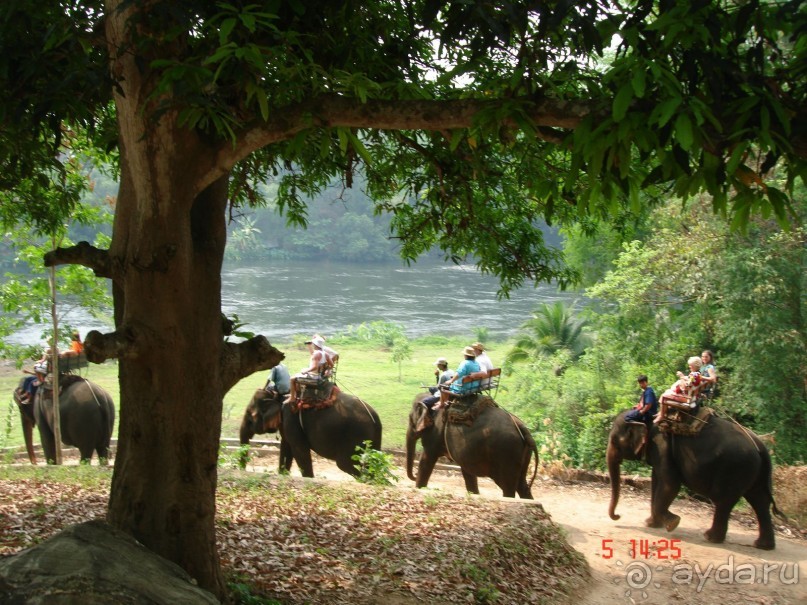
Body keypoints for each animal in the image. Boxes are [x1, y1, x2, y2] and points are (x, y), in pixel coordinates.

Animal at [238, 386, 384, 476]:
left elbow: (299, 450)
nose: (242, 470)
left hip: (356, 436)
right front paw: (282, 475)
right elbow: (286, 448)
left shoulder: (291, 419)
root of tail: (376, 419)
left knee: (346, 464)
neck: (278, 395)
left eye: (249, 416)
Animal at [408, 392, 540, 496]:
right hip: (522, 454)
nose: (414, 475)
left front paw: (419, 488)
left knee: (508, 486)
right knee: (522, 485)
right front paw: (474, 494)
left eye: (410, 419)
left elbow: (426, 461)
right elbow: (468, 472)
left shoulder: (435, 434)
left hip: (506, 453)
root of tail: (522, 427)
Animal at [608, 408, 784, 548]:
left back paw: (710, 537)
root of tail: (760, 447)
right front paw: (651, 523)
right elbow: (656, 481)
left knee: (724, 501)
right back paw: (763, 545)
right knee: (760, 501)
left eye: (615, 441)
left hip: (734, 469)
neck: (648, 418)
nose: (618, 516)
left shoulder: (662, 445)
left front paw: (673, 523)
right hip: (755, 472)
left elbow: (670, 484)